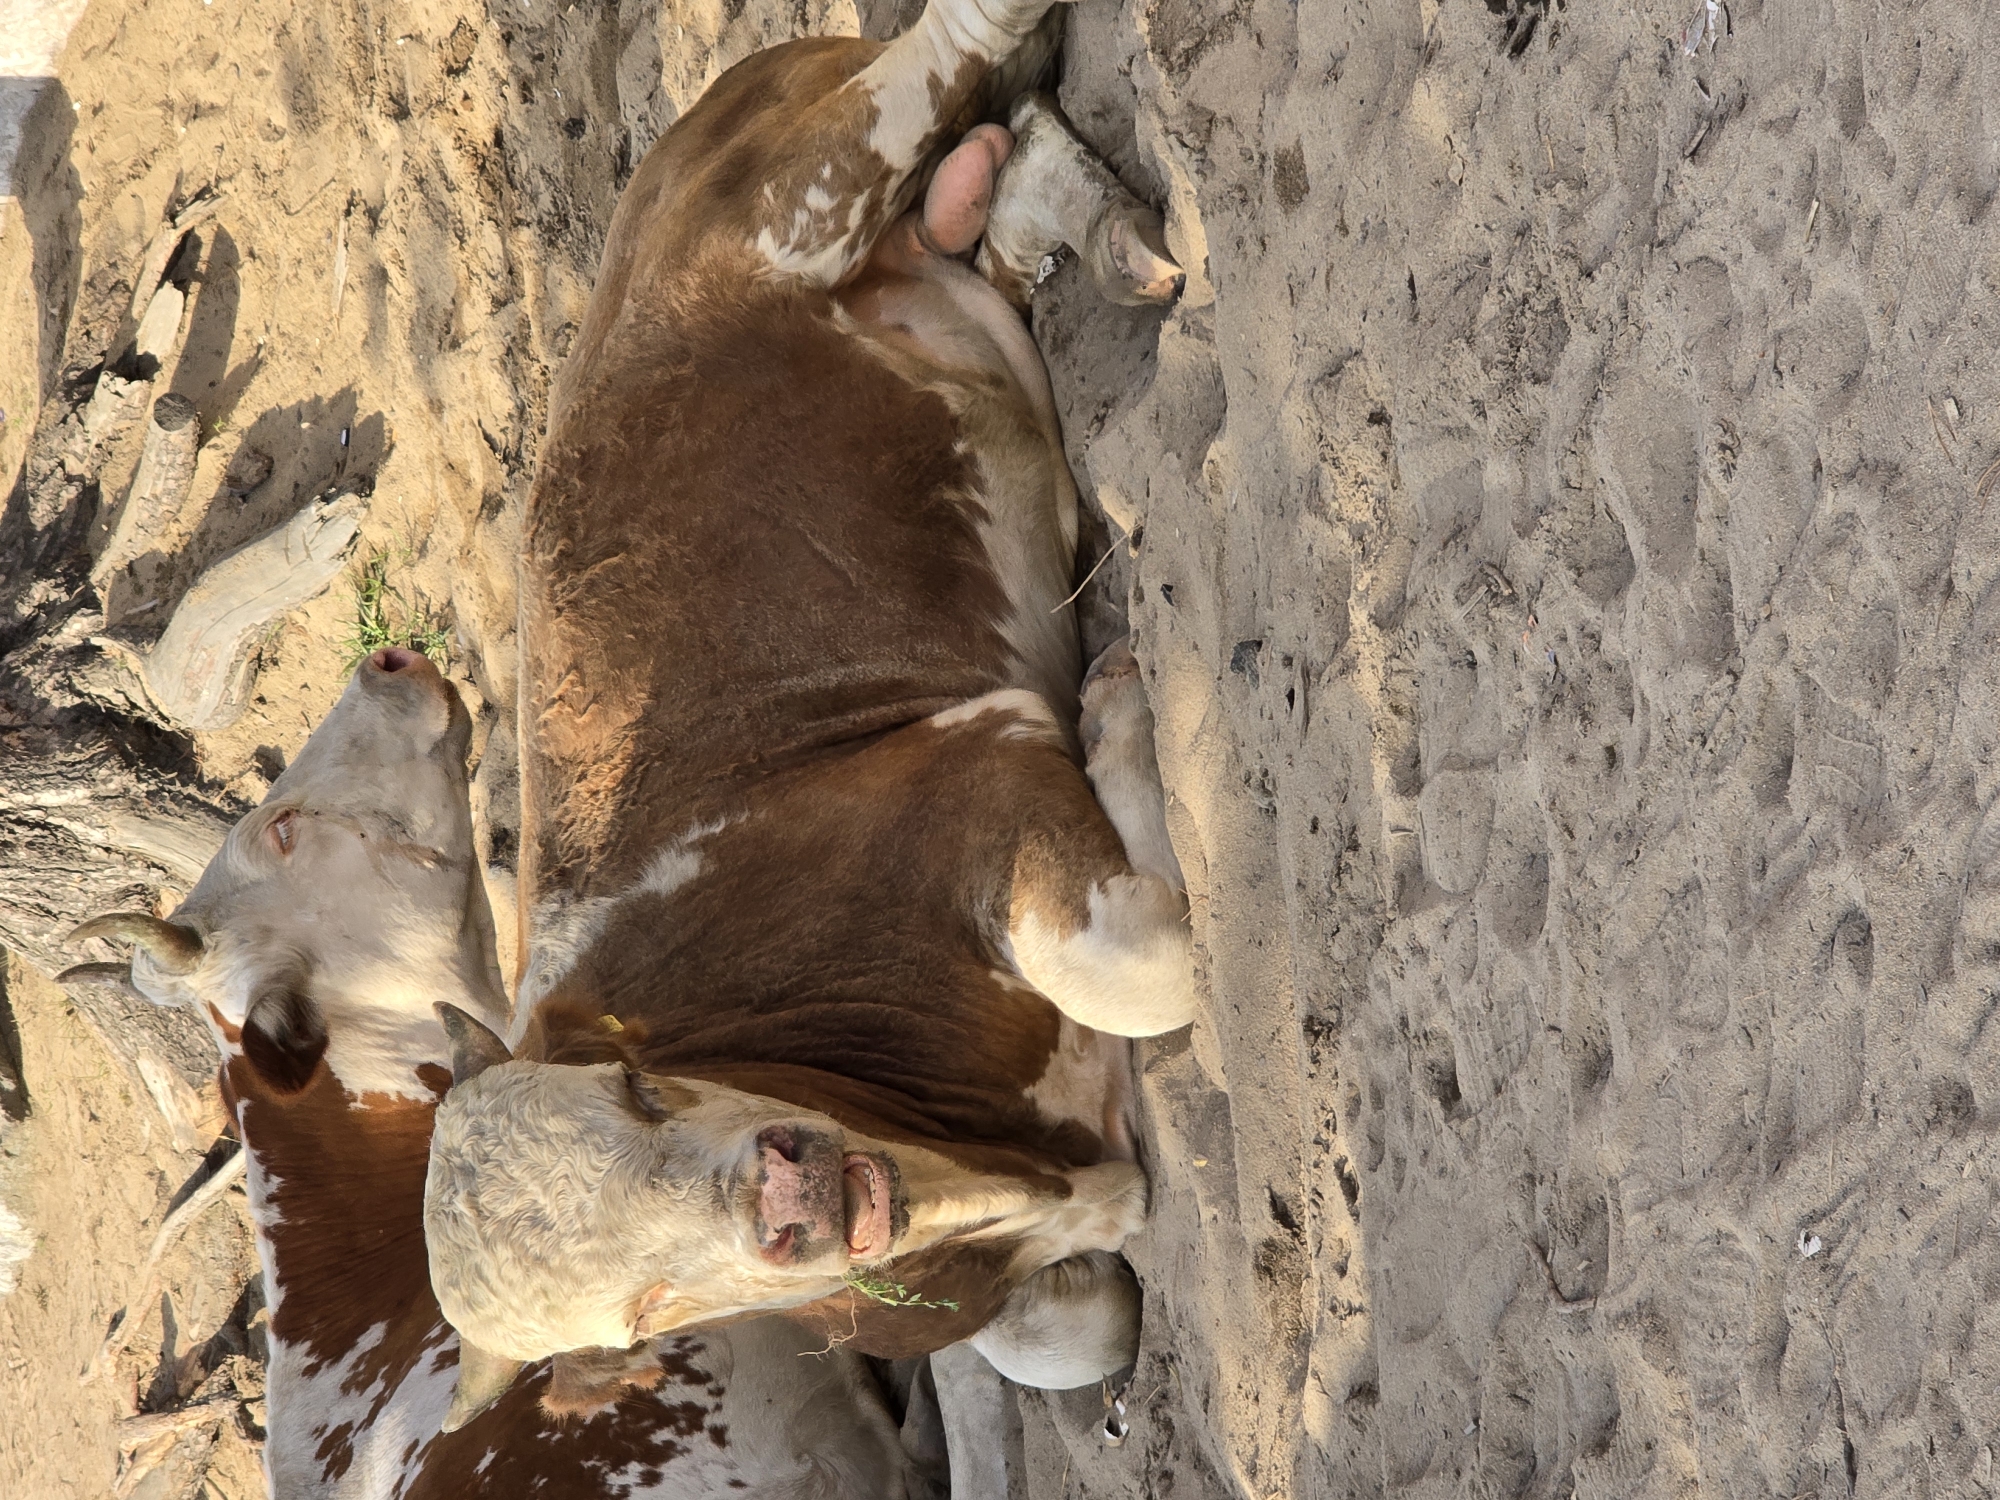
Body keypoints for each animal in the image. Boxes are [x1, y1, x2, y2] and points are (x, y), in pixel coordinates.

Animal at [416, 0, 1198, 1429]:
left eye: (642, 1091)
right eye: (645, 1309)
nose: (782, 1195)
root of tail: (661, 166)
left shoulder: (970, 782)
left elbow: (1126, 966)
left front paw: (1118, 707)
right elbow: (1063, 1337)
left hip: (803, 185)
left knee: (943, 53)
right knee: (985, 187)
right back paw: (1048, 223)